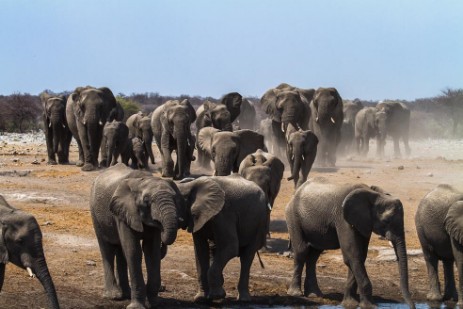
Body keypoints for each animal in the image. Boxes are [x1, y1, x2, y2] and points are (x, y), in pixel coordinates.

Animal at [286, 177, 416, 306]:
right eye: (386, 221)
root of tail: (296, 192)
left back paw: (314, 294)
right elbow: (352, 255)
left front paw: (350, 304)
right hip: (293, 217)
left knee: (314, 255)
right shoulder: (343, 218)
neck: (373, 194)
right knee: (301, 252)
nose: (412, 306)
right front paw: (369, 306)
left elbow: (359, 256)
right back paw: (296, 293)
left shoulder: (363, 222)